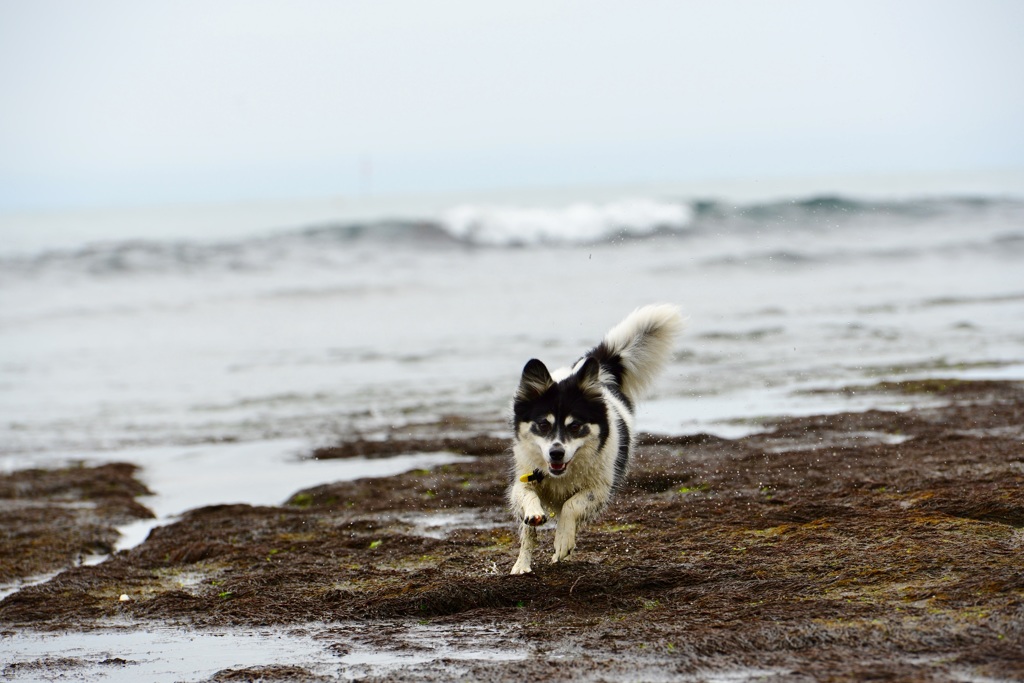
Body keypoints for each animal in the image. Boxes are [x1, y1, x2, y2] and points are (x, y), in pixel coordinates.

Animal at [507, 301, 684, 573]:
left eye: (575, 426)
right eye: (543, 425)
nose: (556, 453)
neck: (563, 473)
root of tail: (596, 372)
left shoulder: (600, 490)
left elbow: (572, 506)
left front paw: (563, 541)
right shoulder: (526, 475)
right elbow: (527, 500)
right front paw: (534, 521)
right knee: (528, 533)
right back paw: (522, 565)